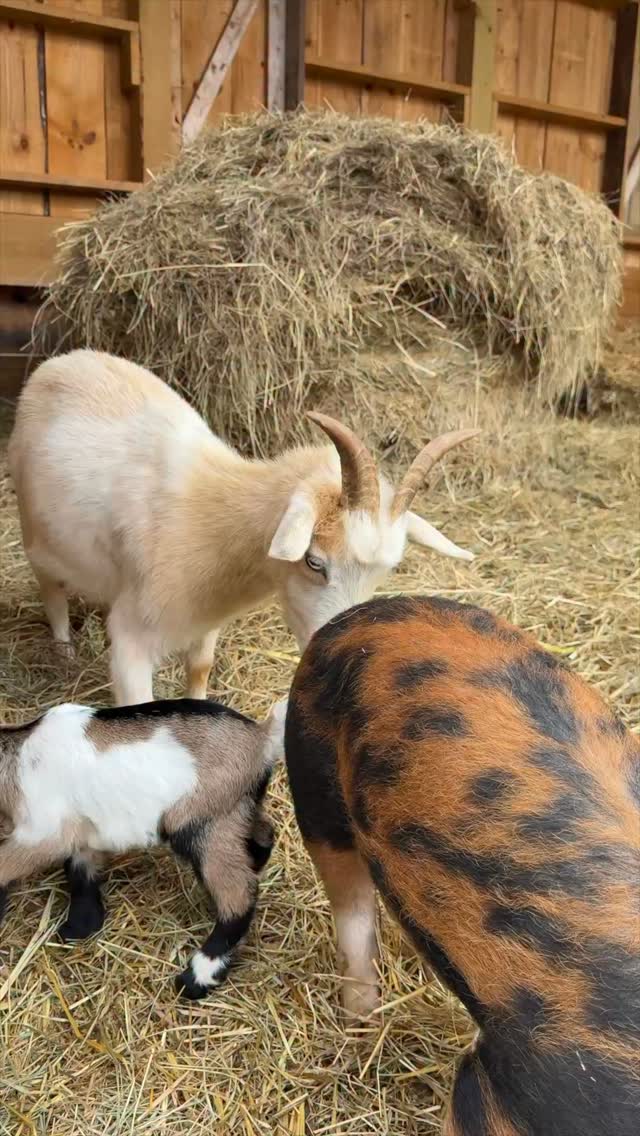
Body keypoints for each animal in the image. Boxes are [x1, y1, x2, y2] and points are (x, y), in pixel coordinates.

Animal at [0, 697, 286, 999]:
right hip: (239, 808)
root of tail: (262, 738)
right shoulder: (83, 827)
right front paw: (82, 924)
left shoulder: (43, 832)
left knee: (239, 893)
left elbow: (6, 866)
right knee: (264, 834)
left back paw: (199, 976)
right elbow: (81, 868)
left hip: (203, 822)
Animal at [8, 349, 478, 705]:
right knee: (50, 589)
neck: (214, 522)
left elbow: (199, 669)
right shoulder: (131, 642)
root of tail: (62, 361)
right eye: (313, 561)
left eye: (386, 573)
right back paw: (64, 650)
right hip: (34, 531)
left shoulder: (205, 620)